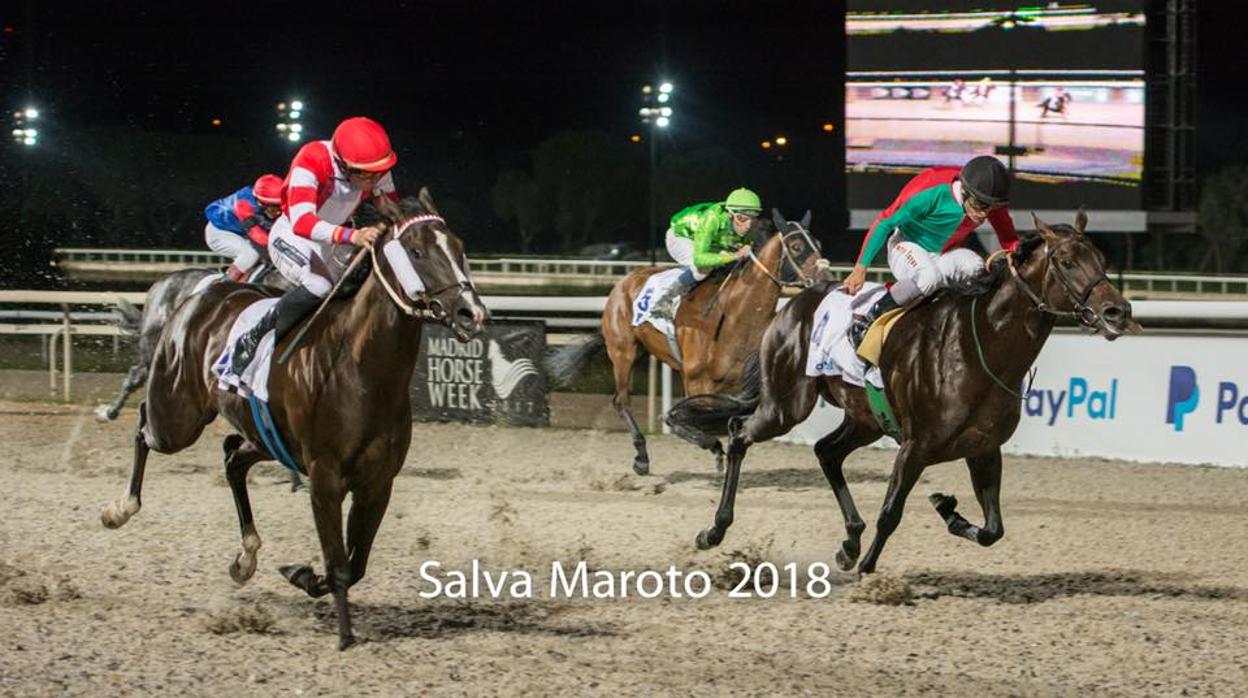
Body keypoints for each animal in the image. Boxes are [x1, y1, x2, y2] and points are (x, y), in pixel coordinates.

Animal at [99, 191, 489, 649]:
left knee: (232, 457)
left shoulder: (377, 482)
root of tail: (195, 295)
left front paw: (302, 575)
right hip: (178, 417)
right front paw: (344, 635)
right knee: (145, 425)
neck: (361, 368)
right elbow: (339, 562)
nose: (470, 314)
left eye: (459, 247)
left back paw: (245, 556)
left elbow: (355, 564)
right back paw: (120, 505)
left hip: (263, 436)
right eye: (416, 251)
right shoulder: (325, 476)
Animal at [549, 212, 828, 474]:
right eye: (795, 247)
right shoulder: (697, 379)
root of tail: (624, 282)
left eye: (818, 244)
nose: (825, 276)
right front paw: (712, 447)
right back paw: (641, 457)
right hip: (623, 351)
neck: (738, 314)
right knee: (621, 400)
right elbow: (688, 416)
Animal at [673, 213, 1143, 574]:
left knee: (826, 451)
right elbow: (890, 514)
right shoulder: (915, 446)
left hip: (863, 418)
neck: (978, 344)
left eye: (1101, 259)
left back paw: (849, 543)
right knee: (739, 434)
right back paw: (714, 530)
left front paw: (946, 510)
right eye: (1066, 260)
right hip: (786, 404)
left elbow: (993, 530)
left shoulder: (984, 448)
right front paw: (868, 571)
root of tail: (791, 306)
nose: (1117, 311)